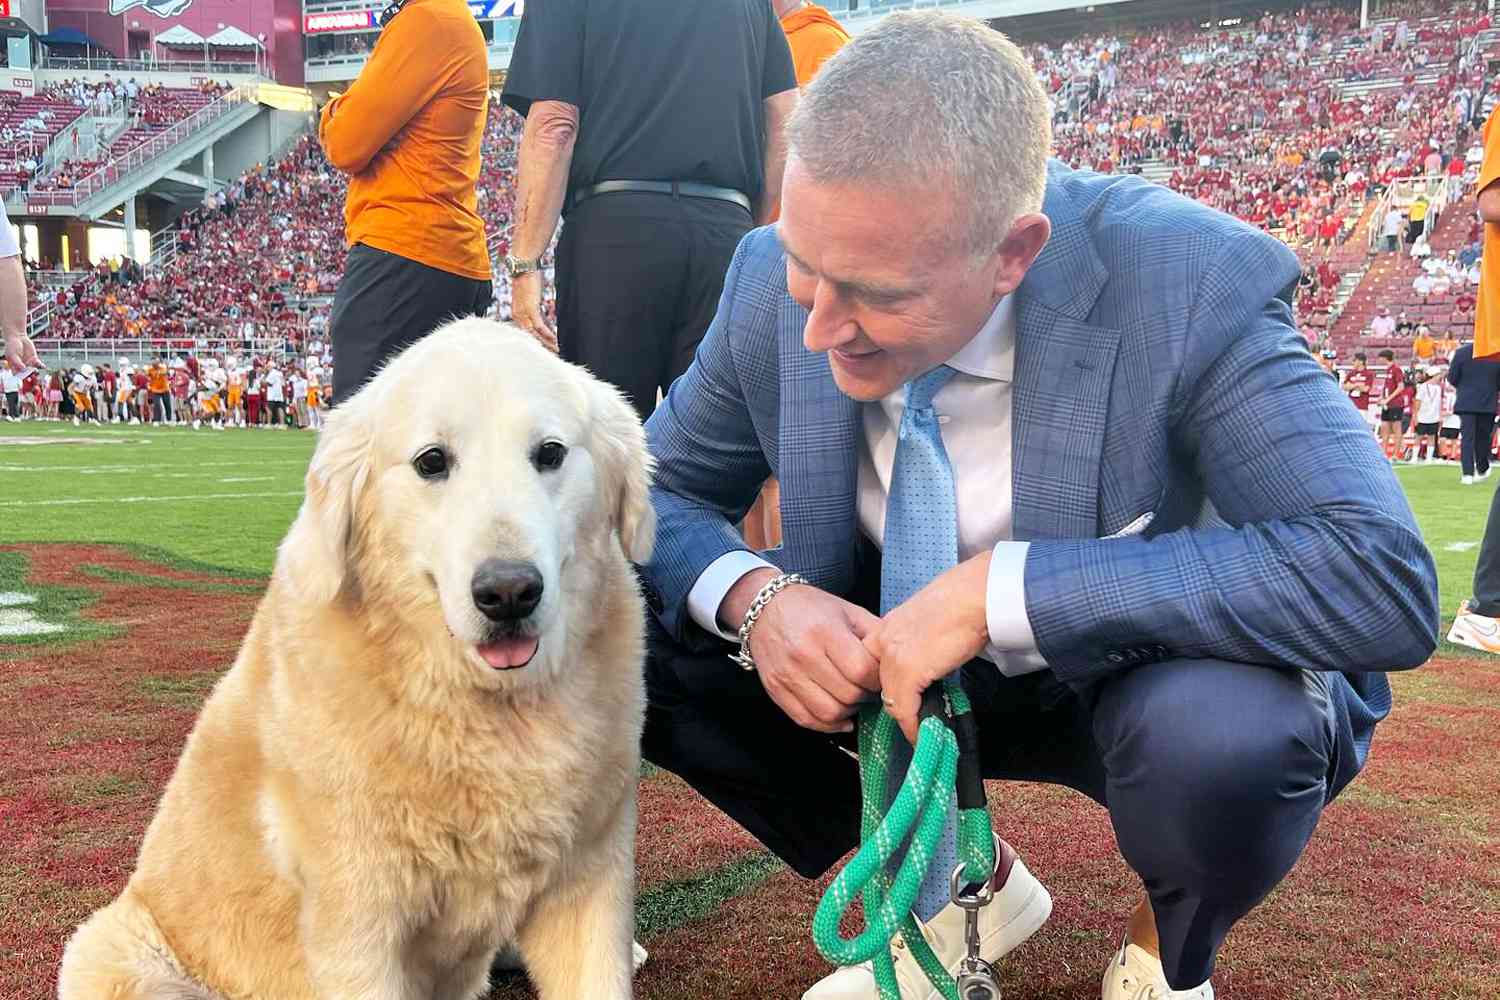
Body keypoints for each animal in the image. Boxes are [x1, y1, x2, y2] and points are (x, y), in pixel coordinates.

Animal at [58, 322, 657, 1000]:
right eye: (432, 462)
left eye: (550, 453)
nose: (508, 592)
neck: (484, 707)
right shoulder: (358, 920)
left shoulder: (589, 877)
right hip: (116, 953)